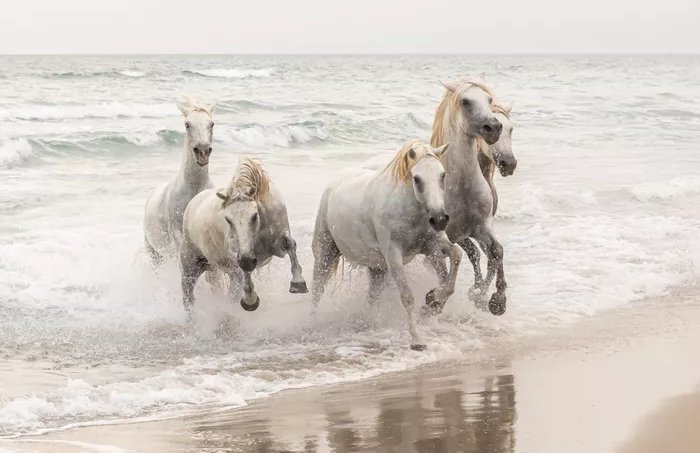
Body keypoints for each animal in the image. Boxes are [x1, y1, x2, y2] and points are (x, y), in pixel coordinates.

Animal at [144, 96, 215, 264]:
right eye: (187, 124)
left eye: (211, 124)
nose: (203, 151)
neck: (194, 189)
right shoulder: (177, 235)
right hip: (153, 252)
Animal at [180, 157, 306, 320]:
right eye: (228, 219)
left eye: (254, 215)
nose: (247, 260)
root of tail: (193, 203)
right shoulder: (238, 257)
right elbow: (244, 272)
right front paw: (250, 300)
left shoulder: (277, 246)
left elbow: (291, 244)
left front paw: (298, 283)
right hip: (190, 267)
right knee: (189, 298)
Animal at [310, 139, 460, 352]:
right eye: (417, 179)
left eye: (442, 175)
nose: (439, 219)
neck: (409, 210)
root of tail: (333, 183)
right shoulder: (393, 256)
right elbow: (407, 297)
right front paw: (417, 340)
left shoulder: (432, 245)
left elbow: (456, 257)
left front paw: (433, 301)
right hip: (325, 253)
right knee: (317, 289)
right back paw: (312, 323)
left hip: (377, 268)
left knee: (372, 297)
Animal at [430, 80, 506, 314]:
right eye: (465, 101)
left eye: (489, 100)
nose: (494, 127)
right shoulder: (445, 235)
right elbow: (445, 266)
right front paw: (435, 299)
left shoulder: (480, 227)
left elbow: (496, 251)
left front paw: (496, 301)